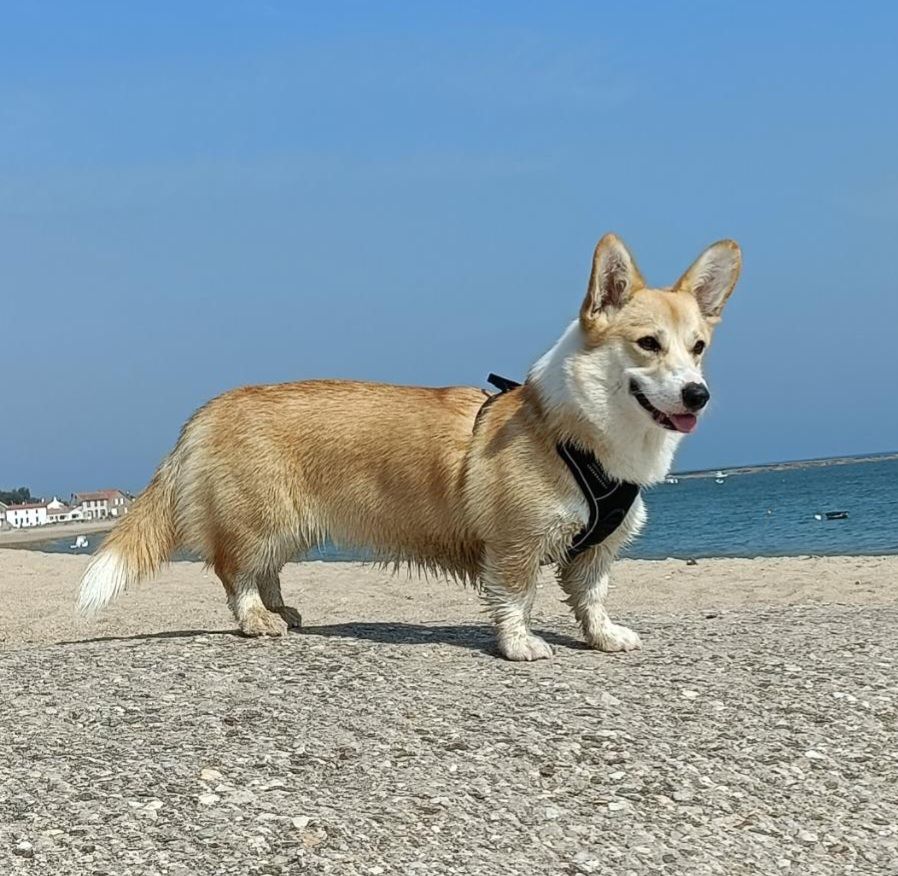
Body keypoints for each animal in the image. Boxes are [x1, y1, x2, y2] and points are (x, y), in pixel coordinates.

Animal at [77, 233, 740, 656]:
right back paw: (257, 621)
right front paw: (521, 645)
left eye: (699, 347)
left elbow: (592, 598)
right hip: (260, 519)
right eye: (648, 344)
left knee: (265, 572)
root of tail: (209, 410)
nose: (699, 394)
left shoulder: (596, 552)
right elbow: (515, 598)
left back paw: (281, 611)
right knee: (235, 572)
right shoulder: (516, 543)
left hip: (289, 526)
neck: (581, 430)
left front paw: (603, 637)